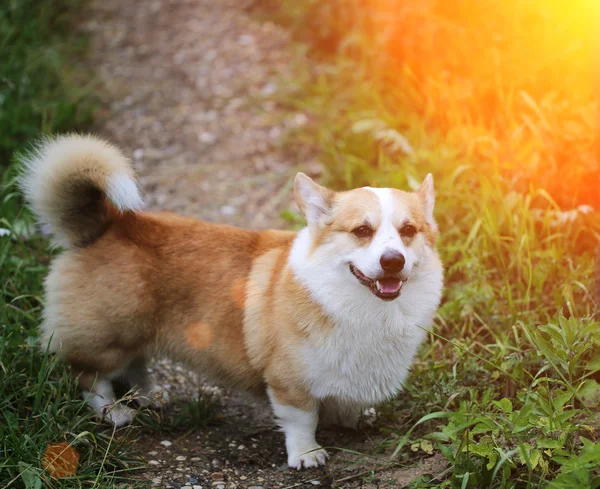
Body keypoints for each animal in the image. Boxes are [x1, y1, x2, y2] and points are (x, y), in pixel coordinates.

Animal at [19, 133, 440, 468]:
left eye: (408, 230)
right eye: (362, 231)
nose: (393, 261)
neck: (367, 310)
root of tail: (108, 223)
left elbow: (348, 402)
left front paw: (353, 420)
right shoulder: (288, 382)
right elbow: (302, 422)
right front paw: (307, 456)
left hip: (137, 333)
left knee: (136, 364)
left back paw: (150, 396)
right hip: (108, 338)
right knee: (91, 376)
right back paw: (115, 413)